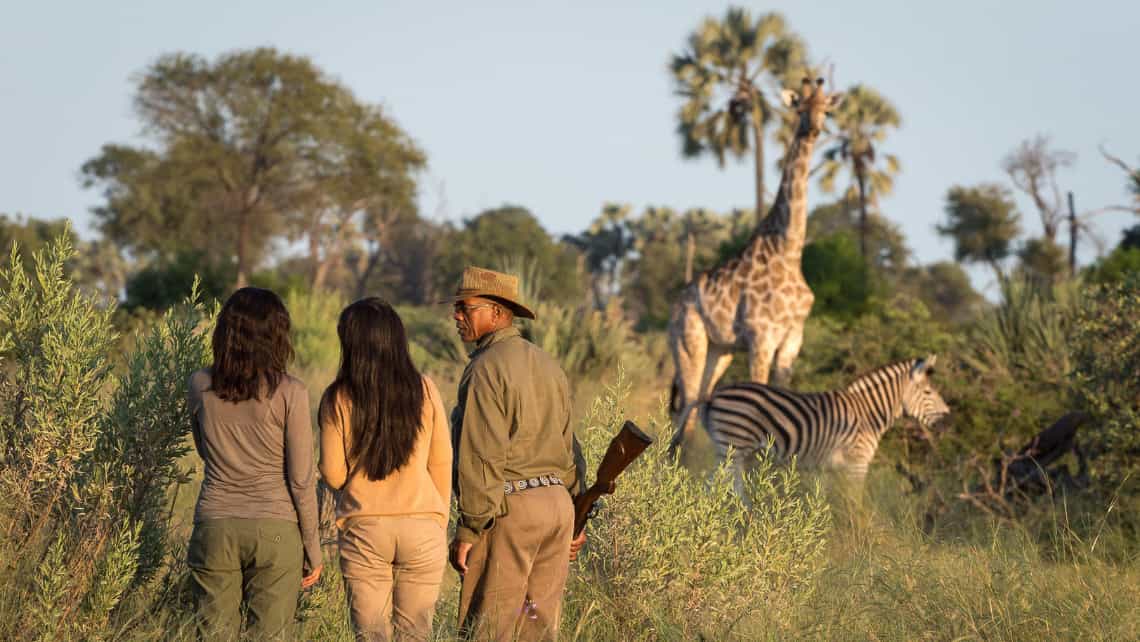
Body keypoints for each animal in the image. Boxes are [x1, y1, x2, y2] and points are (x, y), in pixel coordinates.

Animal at [665, 78, 843, 453]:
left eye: (826, 108)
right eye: (800, 107)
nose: (813, 129)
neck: (789, 250)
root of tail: (674, 307)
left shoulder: (792, 340)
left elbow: (784, 397)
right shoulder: (762, 337)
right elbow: (761, 396)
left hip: (720, 350)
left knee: (696, 403)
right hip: (688, 342)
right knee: (686, 403)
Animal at [697, 355, 948, 488]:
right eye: (928, 392)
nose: (948, 419)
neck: (868, 415)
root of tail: (714, 395)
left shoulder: (830, 469)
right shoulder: (857, 463)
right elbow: (857, 507)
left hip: (731, 450)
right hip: (733, 447)